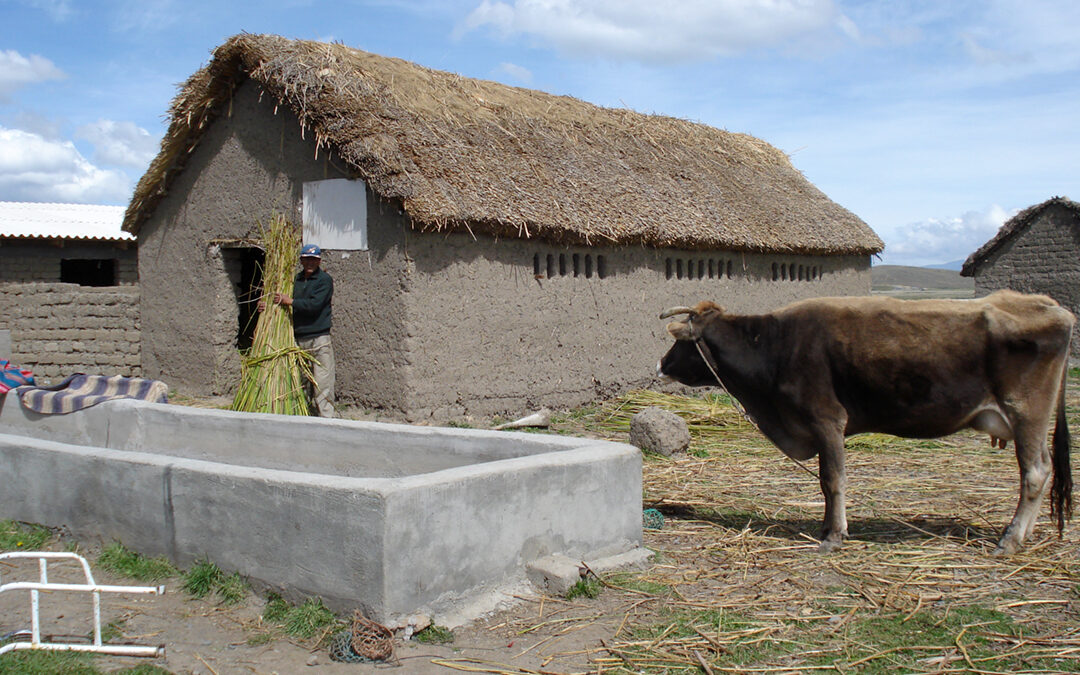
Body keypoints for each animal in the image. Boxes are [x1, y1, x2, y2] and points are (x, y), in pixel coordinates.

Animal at [656, 289, 1071, 552]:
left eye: (680, 342)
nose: (661, 364)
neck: (773, 346)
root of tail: (1051, 306)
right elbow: (827, 483)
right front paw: (827, 527)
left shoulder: (827, 420)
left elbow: (832, 480)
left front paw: (834, 536)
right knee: (1043, 470)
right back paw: (1023, 535)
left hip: (1026, 413)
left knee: (1035, 473)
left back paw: (1010, 539)